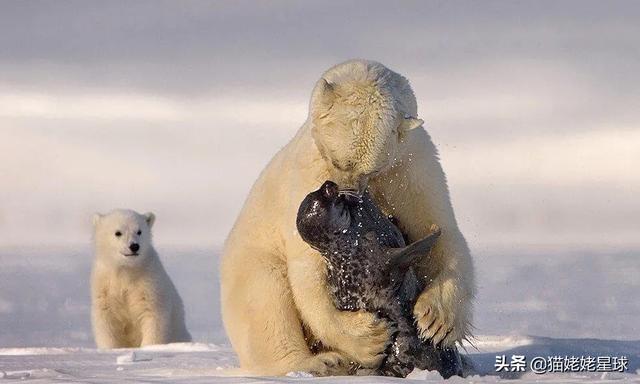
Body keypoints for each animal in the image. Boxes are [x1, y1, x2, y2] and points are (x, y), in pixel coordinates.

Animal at [221, 60, 476, 376]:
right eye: (338, 161)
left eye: (372, 169)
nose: (346, 194)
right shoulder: (308, 173)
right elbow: (308, 272)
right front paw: (368, 338)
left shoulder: (412, 166)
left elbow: (440, 229)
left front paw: (436, 320)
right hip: (249, 260)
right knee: (265, 300)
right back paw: (321, 361)